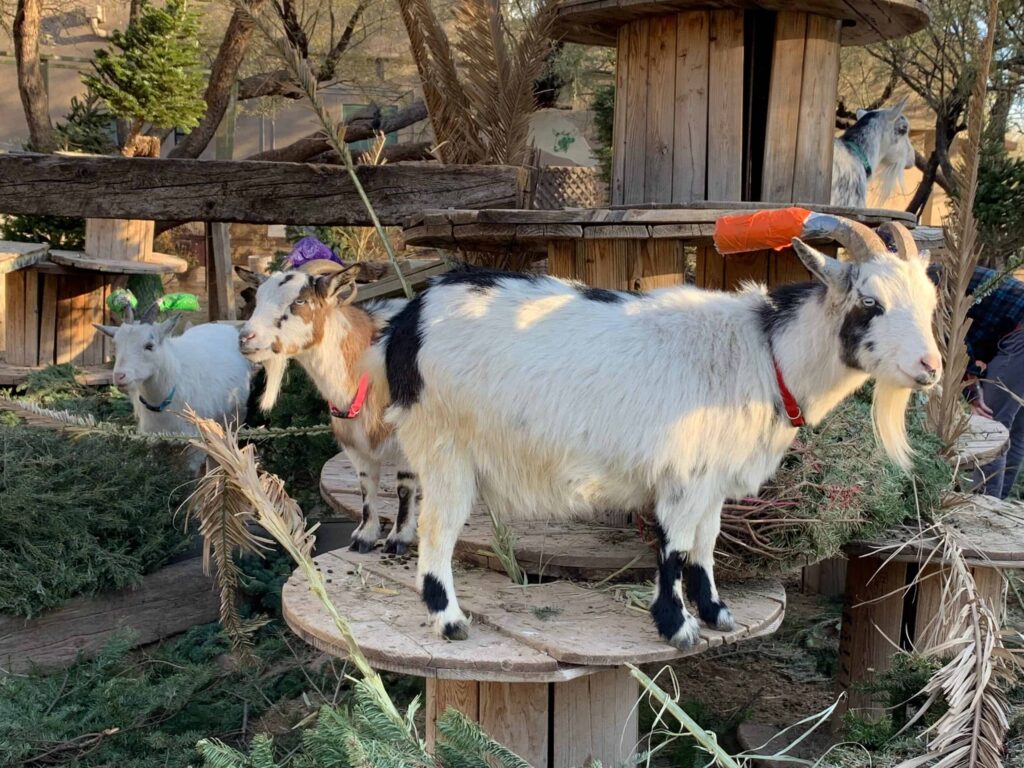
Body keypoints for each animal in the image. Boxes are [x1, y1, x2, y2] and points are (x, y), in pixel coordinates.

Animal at [95, 303, 251, 473]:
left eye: (149, 346)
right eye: (116, 344)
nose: (119, 376)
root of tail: (223, 326)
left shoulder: (196, 440)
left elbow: (190, 472)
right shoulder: (154, 439)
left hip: (236, 415)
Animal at [236, 262, 419, 557]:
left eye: (299, 301)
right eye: (258, 298)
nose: (245, 338)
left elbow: (404, 488)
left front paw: (398, 539)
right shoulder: (354, 443)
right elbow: (366, 486)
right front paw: (364, 537)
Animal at [385, 217, 942, 651]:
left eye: (929, 301)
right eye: (870, 301)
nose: (931, 367)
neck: (765, 355)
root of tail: (411, 318)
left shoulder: (713, 479)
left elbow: (706, 542)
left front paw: (716, 612)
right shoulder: (683, 474)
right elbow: (674, 547)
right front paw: (678, 627)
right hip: (445, 447)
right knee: (437, 528)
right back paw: (449, 620)